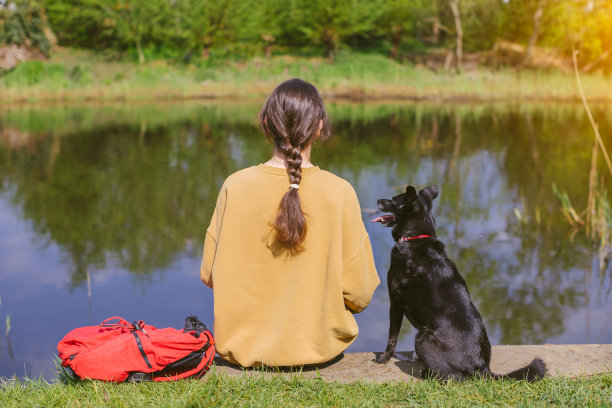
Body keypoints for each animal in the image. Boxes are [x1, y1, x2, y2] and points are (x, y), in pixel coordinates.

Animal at [370, 185, 548, 382]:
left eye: (393, 200)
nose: (378, 200)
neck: (415, 238)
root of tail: (481, 367)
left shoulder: (395, 302)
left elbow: (392, 337)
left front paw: (383, 358)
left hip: (423, 336)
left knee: (450, 376)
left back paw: (426, 373)